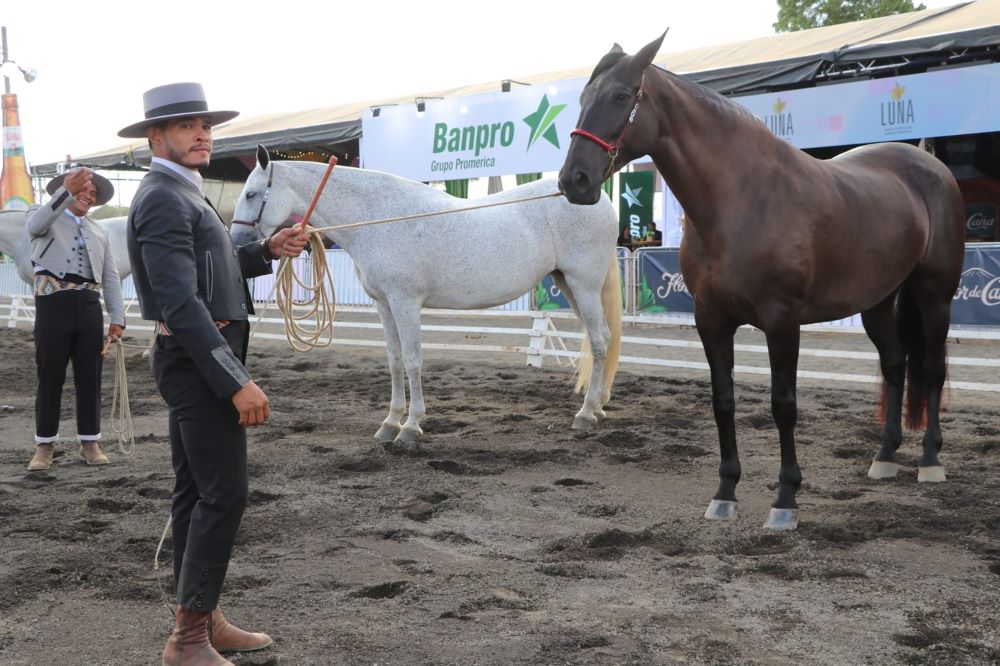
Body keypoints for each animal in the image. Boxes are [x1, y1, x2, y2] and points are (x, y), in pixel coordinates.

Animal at [231, 145, 623, 446]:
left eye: (250, 194)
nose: (236, 243)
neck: (380, 218)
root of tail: (598, 198)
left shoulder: (405, 303)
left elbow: (413, 361)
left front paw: (410, 427)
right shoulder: (384, 305)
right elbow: (394, 362)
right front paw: (390, 422)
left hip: (584, 284)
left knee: (600, 341)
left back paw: (586, 414)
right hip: (569, 284)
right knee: (598, 340)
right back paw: (598, 407)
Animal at [559, 33, 965, 530]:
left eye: (621, 96)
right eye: (582, 99)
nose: (574, 180)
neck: (741, 199)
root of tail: (928, 164)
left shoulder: (782, 322)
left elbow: (783, 405)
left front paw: (785, 500)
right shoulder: (711, 321)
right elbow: (723, 401)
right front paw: (724, 493)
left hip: (935, 295)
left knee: (931, 369)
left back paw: (930, 462)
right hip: (876, 301)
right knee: (894, 365)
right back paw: (885, 458)